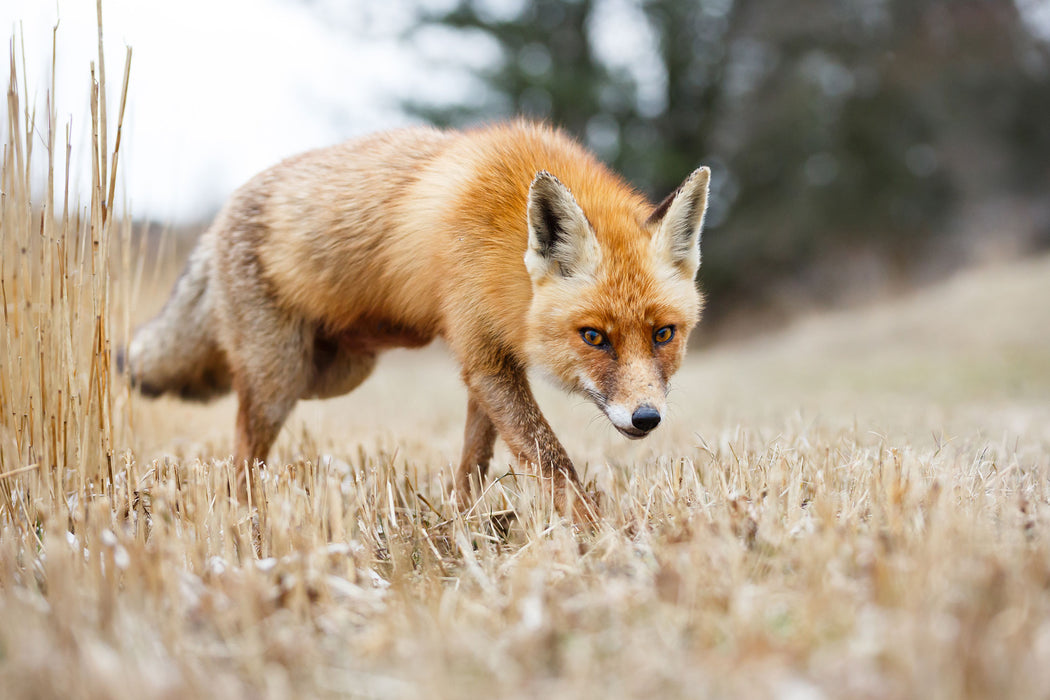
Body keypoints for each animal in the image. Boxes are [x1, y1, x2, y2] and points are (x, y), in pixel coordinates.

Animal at [127, 120, 709, 522]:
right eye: (593, 337)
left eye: (663, 334)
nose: (646, 418)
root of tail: (216, 221)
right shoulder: (484, 357)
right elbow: (551, 459)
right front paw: (600, 537)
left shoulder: (490, 360)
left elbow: (476, 459)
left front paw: (463, 521)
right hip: (280, 380)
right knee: (242, 451)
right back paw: (245, 516)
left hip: (333, 372)